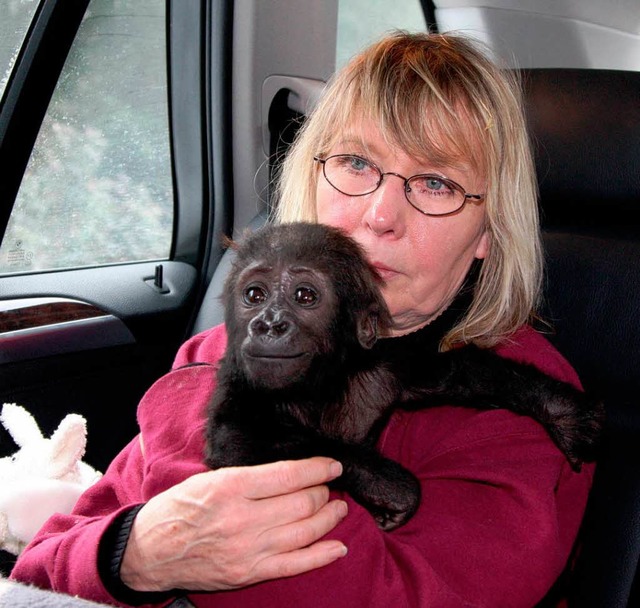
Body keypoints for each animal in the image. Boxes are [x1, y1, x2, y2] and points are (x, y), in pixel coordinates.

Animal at [206, 222, 604, 528]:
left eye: (305, 296)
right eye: (254, 295)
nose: (270, 324)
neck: (320, 387)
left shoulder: (383, 370)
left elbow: (449, 374)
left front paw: (561, 411)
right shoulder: (236, 383)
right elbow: (236, 443)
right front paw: (392, 489)